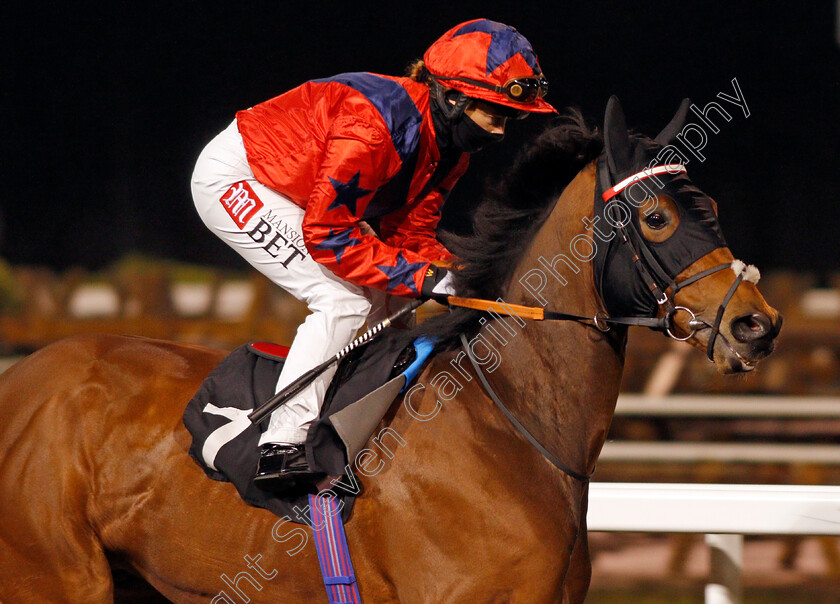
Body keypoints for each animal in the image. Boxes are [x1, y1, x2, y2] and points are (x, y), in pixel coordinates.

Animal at [0, 96, 780, 600]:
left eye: (711, 209)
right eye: (656, 218)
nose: (757, 324)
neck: (511, 427)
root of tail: (23, 380)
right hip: (57, 577)